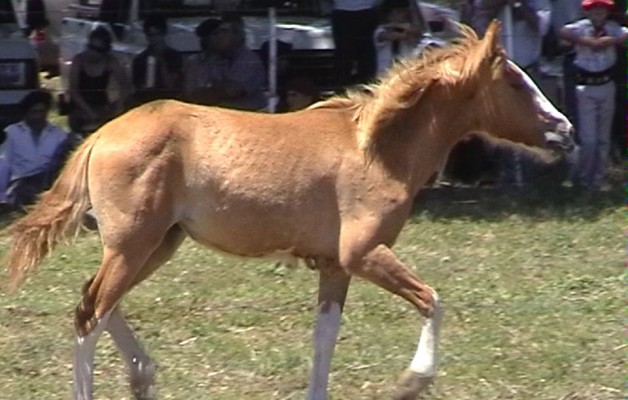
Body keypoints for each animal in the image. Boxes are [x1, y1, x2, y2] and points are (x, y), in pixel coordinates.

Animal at [6, 21, 576, 400]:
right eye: (515, 83)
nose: (565, 130)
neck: (378, 150)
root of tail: (100, 134)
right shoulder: (364, 252)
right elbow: (432, 301)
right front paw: (412, 380)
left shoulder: (336, 265)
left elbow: (324, 340)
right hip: (133, 244)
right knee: (90, 312)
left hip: (158, 243)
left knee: (98, 302)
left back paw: (143, 373)